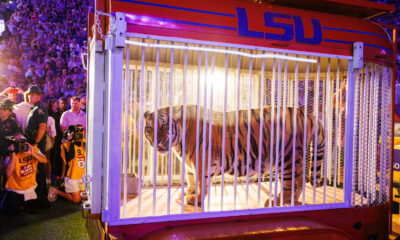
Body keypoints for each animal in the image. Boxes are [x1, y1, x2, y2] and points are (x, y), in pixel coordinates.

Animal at [144, 104, 324, 206]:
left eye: (165, 125)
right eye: (150, 128)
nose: (156, 140)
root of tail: (307, 114)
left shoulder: (202, 162)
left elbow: (201, 183)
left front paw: (196, 199)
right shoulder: (190, 164)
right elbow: (191, 179)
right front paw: (188, 192)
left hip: (287, 158)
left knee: (293, 182)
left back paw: (277, 201)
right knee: (299, 182)